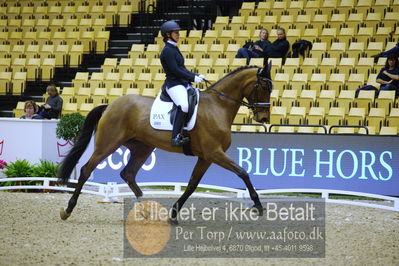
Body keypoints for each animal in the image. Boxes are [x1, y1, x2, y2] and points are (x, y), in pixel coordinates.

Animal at [57, 64, 274, 222]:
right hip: (108, 144)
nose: (263, 118)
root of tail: (110, 105)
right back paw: (68, 209)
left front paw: (174, 214)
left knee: (128, 174)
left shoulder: (206, 157)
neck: (217, 106)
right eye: (264, 87)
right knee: (86, 170)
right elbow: (243, 172)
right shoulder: (214, 153)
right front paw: (258, 205)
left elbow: (192, 185)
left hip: (142, 148)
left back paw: (147, 210)